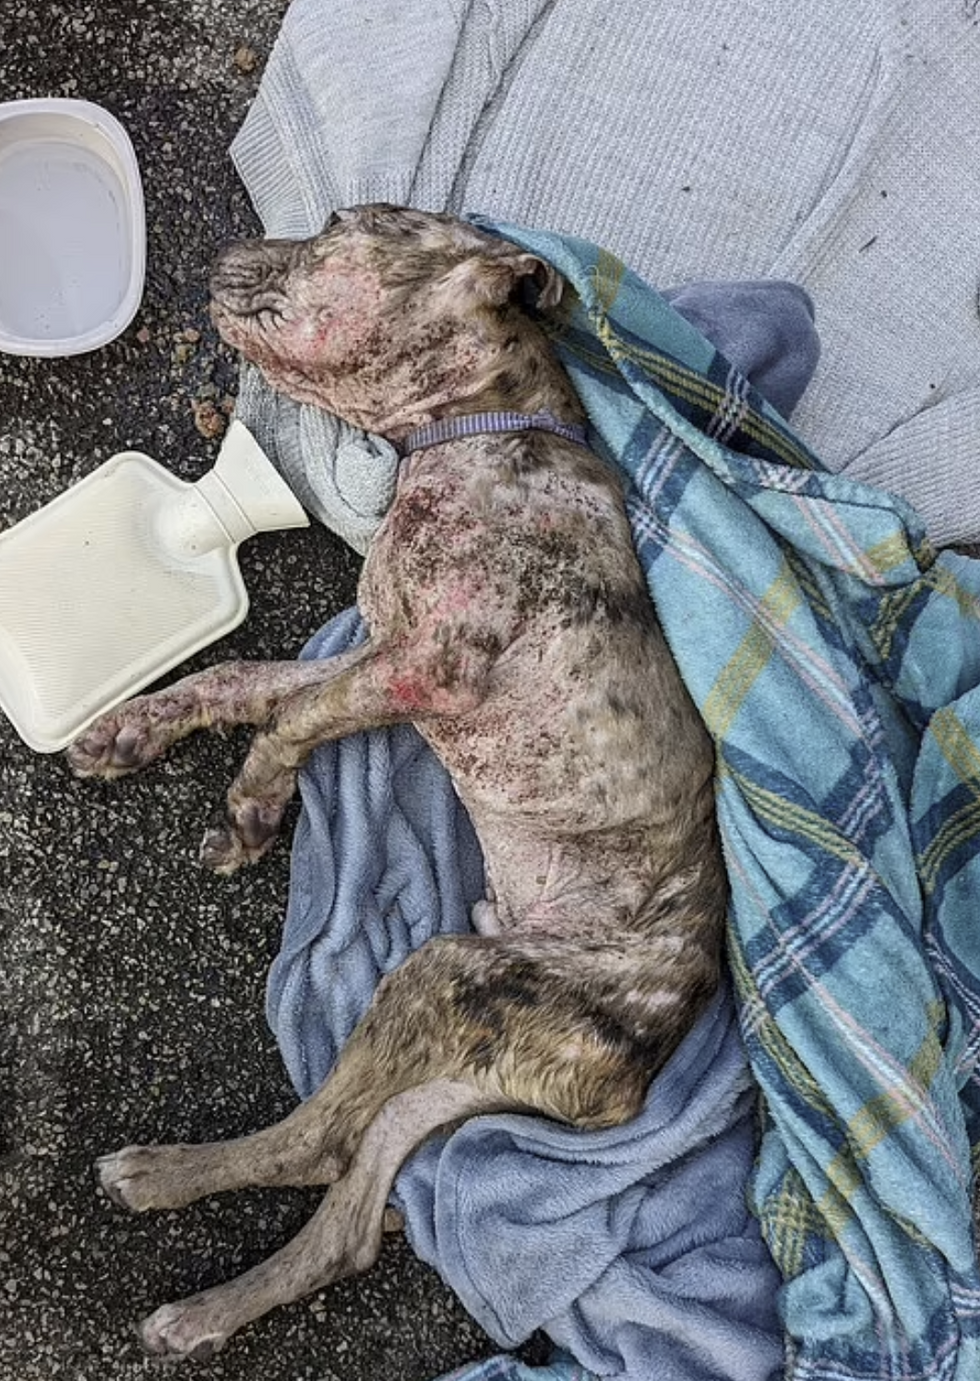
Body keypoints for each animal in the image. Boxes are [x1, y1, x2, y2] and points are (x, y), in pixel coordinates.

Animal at [69, 207, 728, 1358]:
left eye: (348, 223)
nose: (217, 253)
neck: (478, 435)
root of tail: (634, 1079)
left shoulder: (426, 667)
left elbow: (286, 720)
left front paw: (251, 810)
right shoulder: (378, 652)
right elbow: (245, 681)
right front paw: (128, 731)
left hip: (451, 972)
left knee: (317, 1142)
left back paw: (161, 1179)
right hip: (472, 1038)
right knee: (344, 1208)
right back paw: (203, 1306)